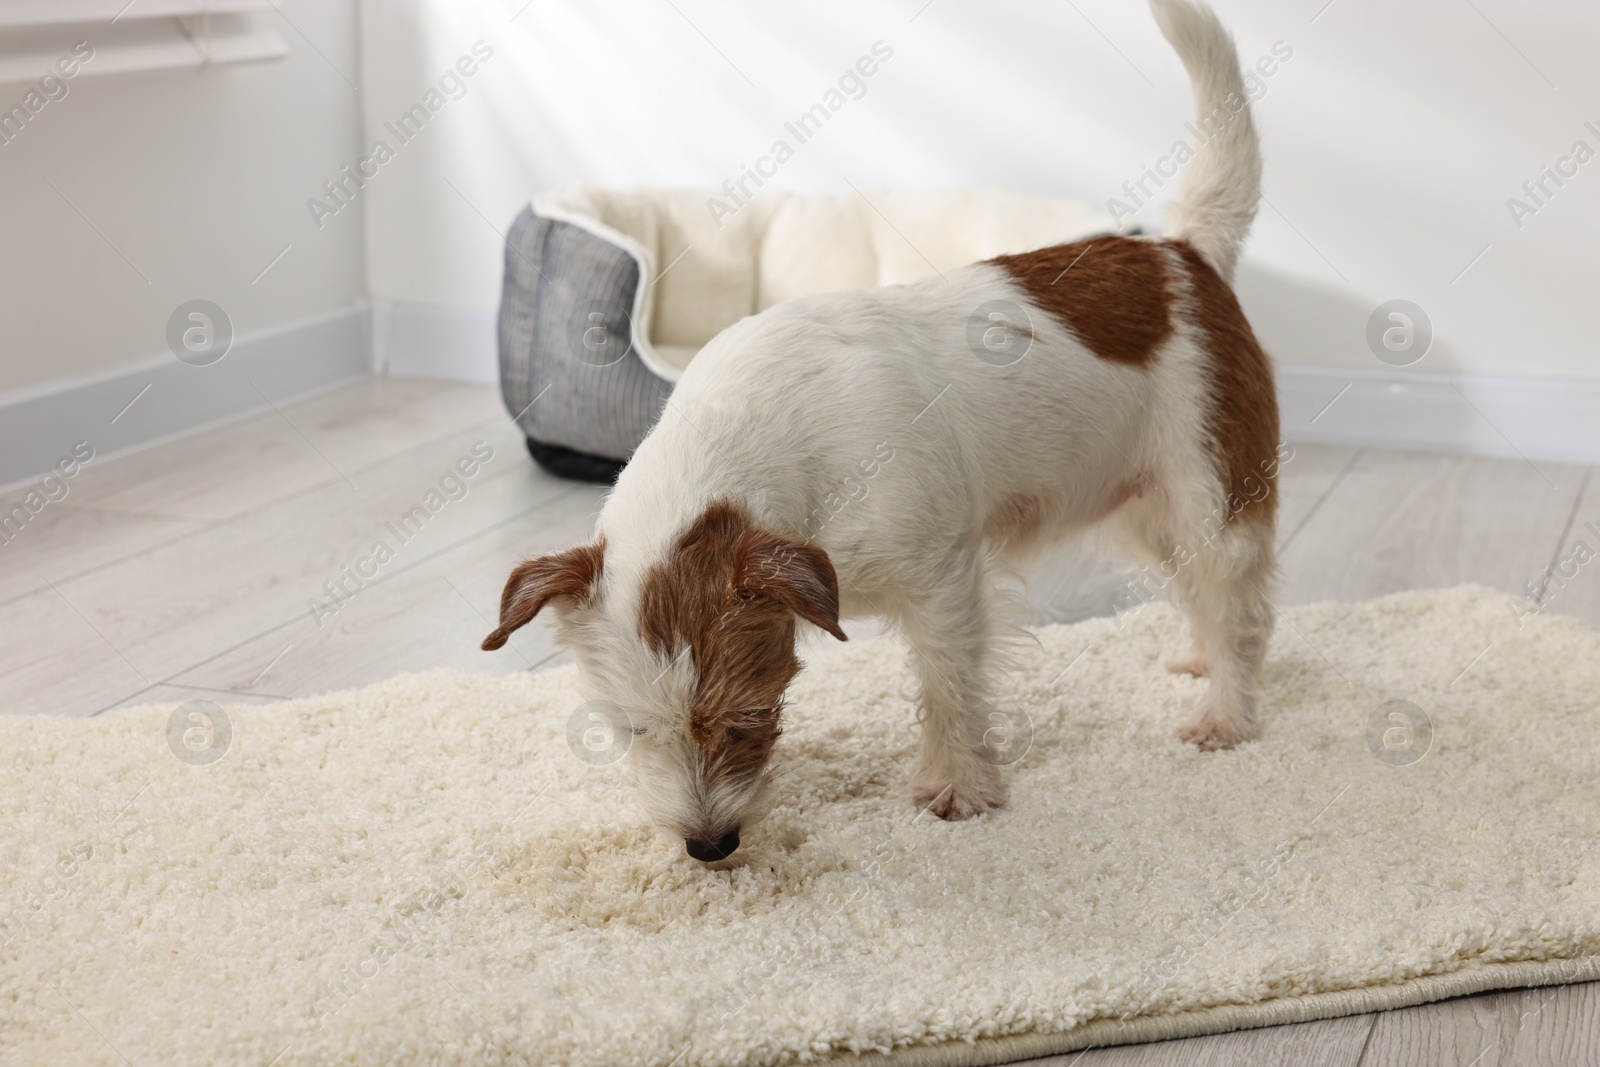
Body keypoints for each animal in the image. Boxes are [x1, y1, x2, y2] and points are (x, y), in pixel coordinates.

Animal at [480, 0, 1280, 863]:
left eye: (749, 714)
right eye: (631, 730)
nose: (710, 846)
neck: (784, 460)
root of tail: (1183, 254)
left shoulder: (944, 580)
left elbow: (948, 684)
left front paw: (958, 785)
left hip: (1212, 498)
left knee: (1243, 608)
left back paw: (1227, 711)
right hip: (1144, 510)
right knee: (1201, 593)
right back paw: (1202, 658)